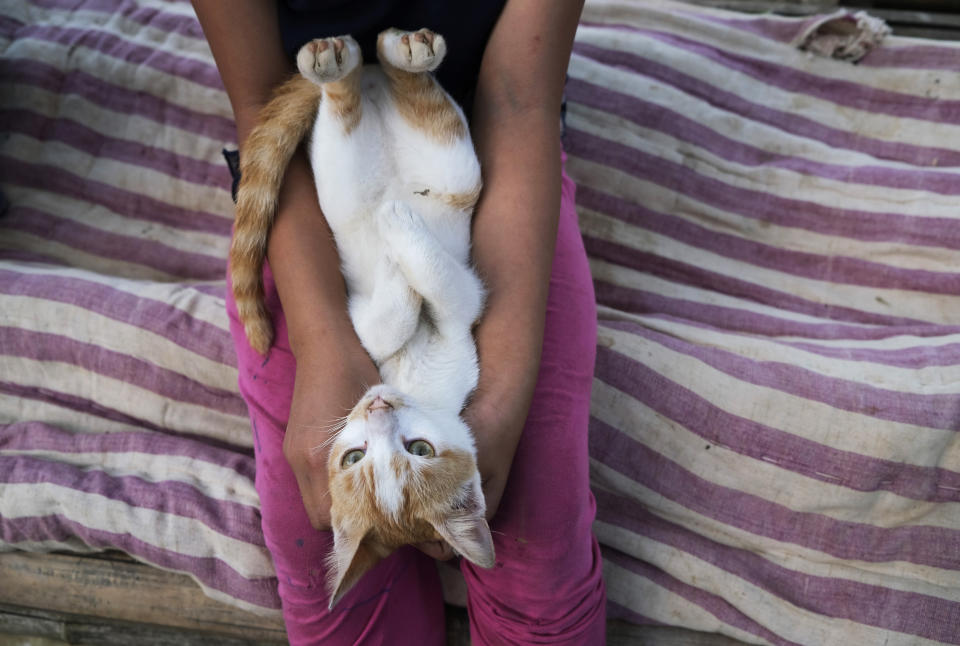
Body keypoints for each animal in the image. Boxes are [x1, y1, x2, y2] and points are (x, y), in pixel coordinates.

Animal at [229, 27, 492, 612]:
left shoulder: (461, 308)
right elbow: (391, 315)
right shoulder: (365, 320)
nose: (377, 407)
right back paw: (354, 61)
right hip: (346, 174)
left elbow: (438, 286)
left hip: (449, 167)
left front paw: (399, 247)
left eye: (419, 451)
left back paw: (389, 57)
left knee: (411, 102)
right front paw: (396, 258)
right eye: (354, 458)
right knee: (354, 104)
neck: (408, 378)